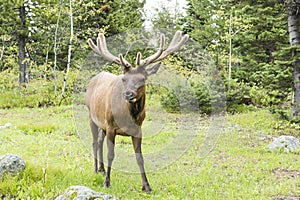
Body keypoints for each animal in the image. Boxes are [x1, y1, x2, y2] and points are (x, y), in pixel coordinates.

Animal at [85, 30, 188, 191]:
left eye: (142, 79)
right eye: (123, 79)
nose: (128, 94)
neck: (129, 118)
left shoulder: (138, 129)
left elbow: (140, 157)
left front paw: (146, 186)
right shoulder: (111, 126)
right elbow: (111, 154)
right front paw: (107, 182)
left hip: (102, 123)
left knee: (100, 141)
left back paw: (101, 169)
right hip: (92, 115)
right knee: (95, 142)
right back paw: (96, 170)